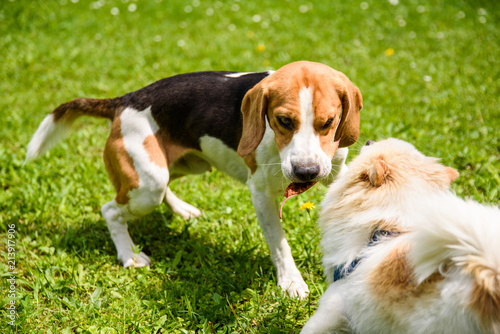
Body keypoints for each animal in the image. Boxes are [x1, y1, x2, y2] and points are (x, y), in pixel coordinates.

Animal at [27, 61, 362, 298]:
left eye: (329, 122)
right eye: (283, 121)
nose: (306, 172)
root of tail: (125, 100)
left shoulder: (336, 173)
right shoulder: (261, 194)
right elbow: (280, 244)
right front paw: (291, 282)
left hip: (178, 167)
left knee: (163, 188)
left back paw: (182, 210)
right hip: (146, 187)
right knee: (111, 210)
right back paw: (129, 255)